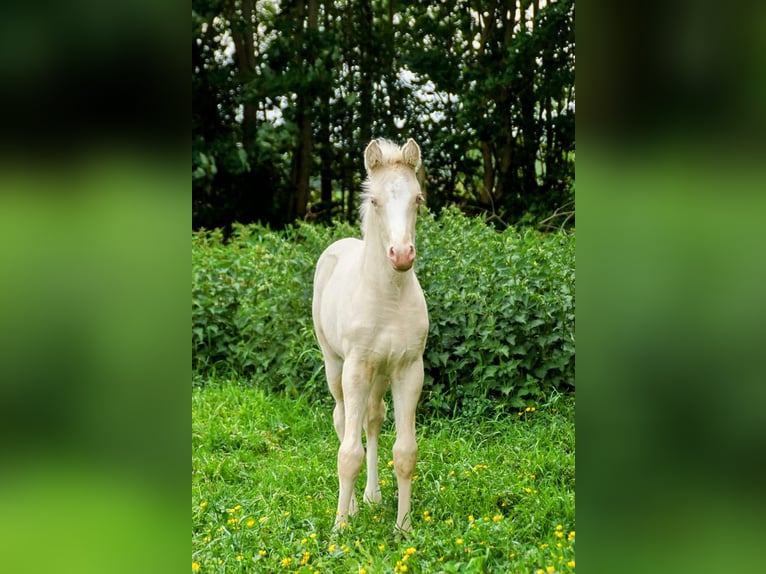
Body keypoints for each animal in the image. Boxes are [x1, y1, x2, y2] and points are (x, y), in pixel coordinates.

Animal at [314, 140, 432, 536]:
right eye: (376, 201)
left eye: (417, 198)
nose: (402, 254)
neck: (388, 296)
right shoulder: (357, 367)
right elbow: (349, 453)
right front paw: (338, 531)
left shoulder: (409, 369)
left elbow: (405, 452)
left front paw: (404, 528)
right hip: (335, 365)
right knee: (342, 419)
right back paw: (351, 507)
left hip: (381, 374)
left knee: (373, 420)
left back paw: (372, 497)